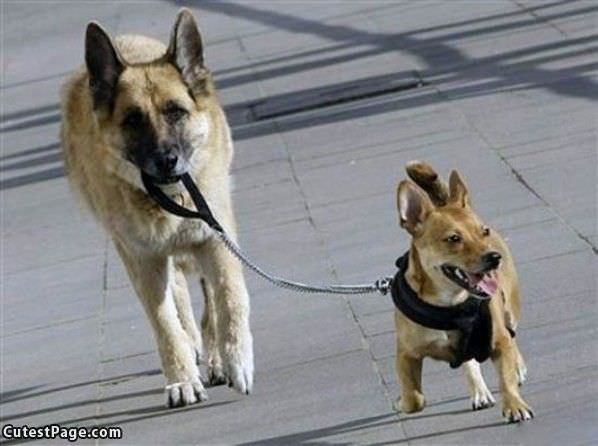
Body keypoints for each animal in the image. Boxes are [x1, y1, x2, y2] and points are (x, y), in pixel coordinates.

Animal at [62, 9, 254, 408]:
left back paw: (215, 357)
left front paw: (236, 359)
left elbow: (229, 299)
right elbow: (165, 323)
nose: (167, 160)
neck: (167, 200)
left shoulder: (215, 240)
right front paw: (182, 379)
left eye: (175, 112)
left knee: (208, 300)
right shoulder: (143, 259)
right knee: (178, 299)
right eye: (133, 120)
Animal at [394, 159, 536, 422]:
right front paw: (403, 401)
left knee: (512, 335)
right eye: (453, 238)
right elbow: (414, 397)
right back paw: (479, 391)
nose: (494, 257)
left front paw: (514, 405)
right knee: (470, 362)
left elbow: (506, 378)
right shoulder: (406, 355)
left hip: (511, 310)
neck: (450, 304)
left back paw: (517, 368)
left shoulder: (498, 340)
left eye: (484, 231)